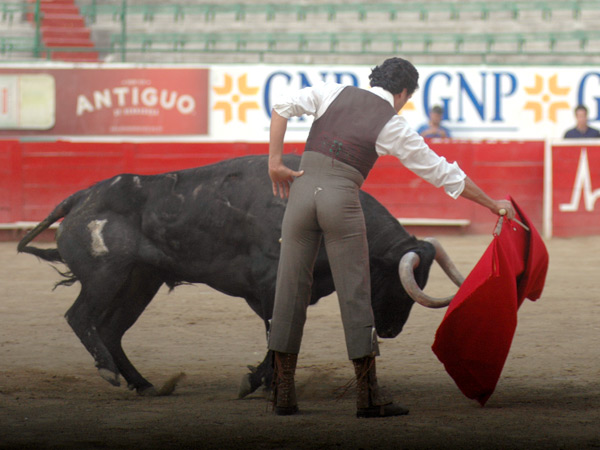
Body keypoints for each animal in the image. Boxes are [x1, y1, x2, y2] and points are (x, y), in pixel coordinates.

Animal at [18, 155, 440, 398]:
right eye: (392, 279)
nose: (391, 330)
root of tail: (81, 197)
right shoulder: (272, 286)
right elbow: (277, 333)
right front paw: (259, 383)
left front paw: (264, 382)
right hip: (107, 276)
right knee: (80, 317)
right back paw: (110, 373)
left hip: (140, 282)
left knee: (109, 330)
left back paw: (145, 384)